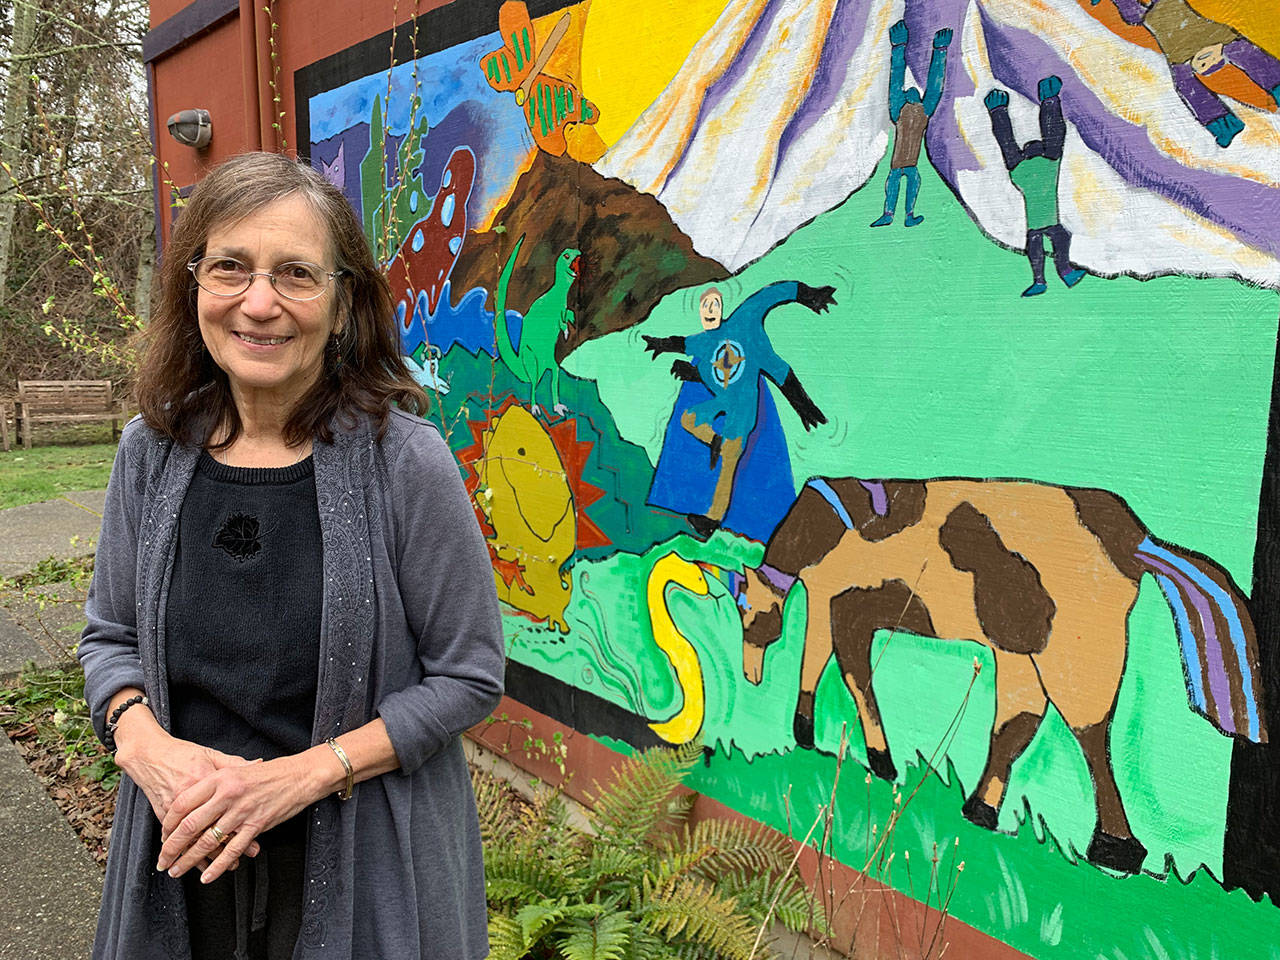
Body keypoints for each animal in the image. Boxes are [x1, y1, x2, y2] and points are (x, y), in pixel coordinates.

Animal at [737, 478, 1264, 875]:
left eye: (749, 616)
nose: (750, 674)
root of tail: (1133, 540)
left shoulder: (843, 599)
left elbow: (838, 667)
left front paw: (857, 751)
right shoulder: (838, 600)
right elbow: (831, 663)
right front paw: (829, 740)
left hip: (1079, 649)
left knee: (1090, 733)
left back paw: (1115, 848)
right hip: (1021, 651)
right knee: (1020, 720)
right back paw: (981, 810)